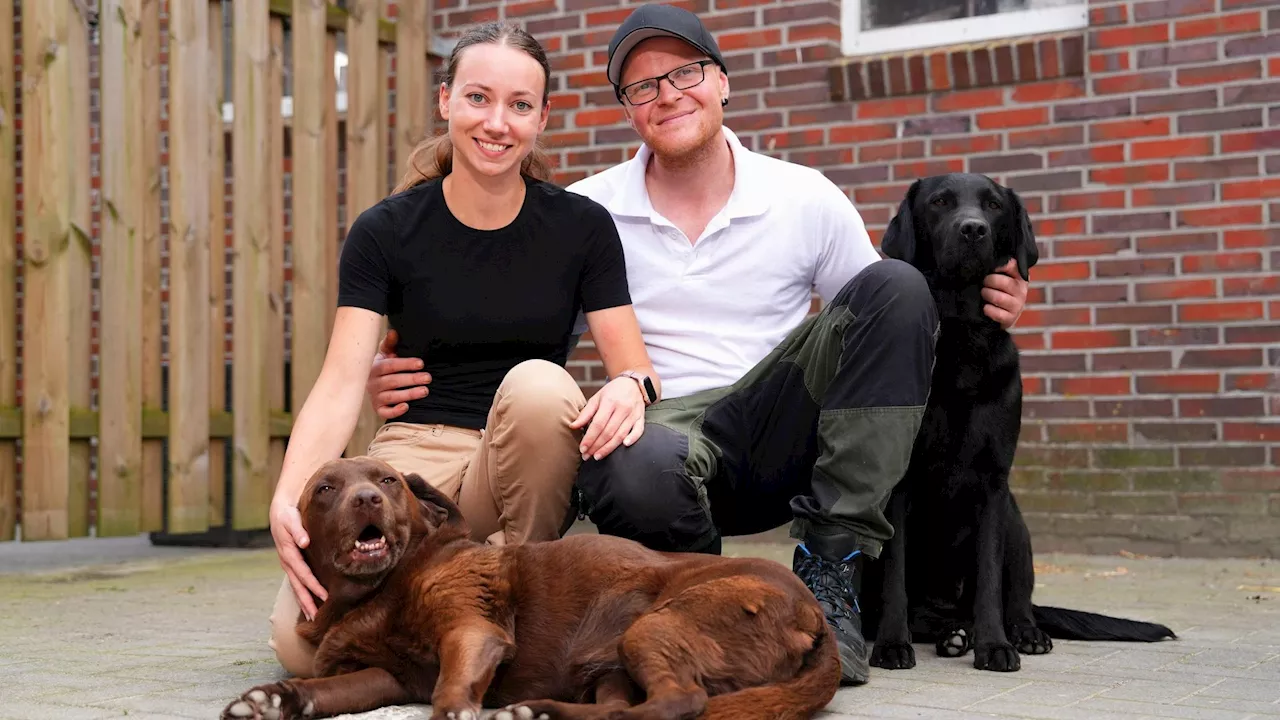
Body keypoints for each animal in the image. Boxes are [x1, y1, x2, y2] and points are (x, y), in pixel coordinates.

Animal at [220, 456, 839, 712]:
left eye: (389, 481)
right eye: (326, 488)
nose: (367, 499)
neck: (376, 592)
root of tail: (816, 617)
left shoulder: (472, 633)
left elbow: (450, 689)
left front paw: (457, 713)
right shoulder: (386, 676)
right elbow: (327, 690)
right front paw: (274, 700)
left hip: (654, 627)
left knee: (680, 703)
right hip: (612, 669)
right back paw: (538, 712)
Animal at [865, 174, 1172, 671]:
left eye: (993, 206)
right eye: (939, 202)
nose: (973, 229)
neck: (961, 331)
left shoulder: (993, 483)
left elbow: (990, 580)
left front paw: (995, 645)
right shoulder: (898, 484)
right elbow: (895, 574)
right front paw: (892, 644)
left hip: (1015, 520)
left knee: (1016, 600)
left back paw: (1016, 633)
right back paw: (949, 634)